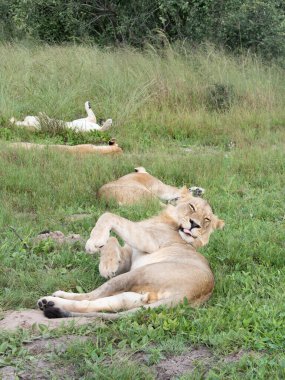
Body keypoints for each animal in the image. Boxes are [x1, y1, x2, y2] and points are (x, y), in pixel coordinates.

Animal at [37, 193, 223, 320]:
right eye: (192, 207)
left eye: (206, 219)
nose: (195, 224)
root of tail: (189, 295)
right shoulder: (128, 257)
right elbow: (112, 239)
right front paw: (108, 263)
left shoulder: (150, 242)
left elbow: (109, 216)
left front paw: (94, 243)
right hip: (133, 295)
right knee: (102, 304)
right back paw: (51, 302)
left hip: (135, 274)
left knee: (90, 296)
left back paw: (51, 301)